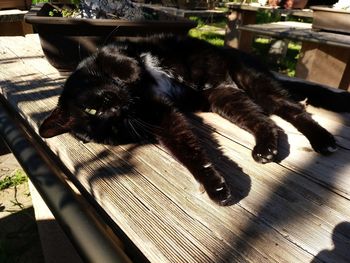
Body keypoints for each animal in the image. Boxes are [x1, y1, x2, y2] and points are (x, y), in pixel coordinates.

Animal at [38, 35, 350, 207]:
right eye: (115, 128)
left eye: (92, 110)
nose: (117, 109)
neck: (136, 97)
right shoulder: (159, 115)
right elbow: (185, 148)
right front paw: (215, 185)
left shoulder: (114, 50)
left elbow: (116, 58)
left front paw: (130, 71)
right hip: (224, 96)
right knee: (268, 122)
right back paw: (266, 148)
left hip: (251, 78)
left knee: (292, 109)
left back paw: (323, 140)